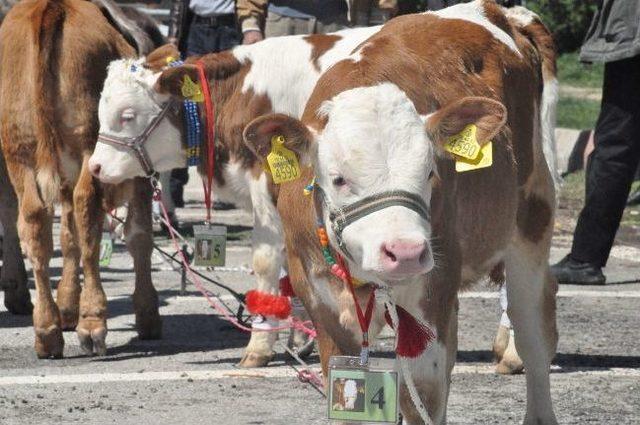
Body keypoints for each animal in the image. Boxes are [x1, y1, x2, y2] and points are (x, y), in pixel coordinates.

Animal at [0, 0, 162, 358]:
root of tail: (50, 8)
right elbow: (139, 237)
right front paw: (147, 314)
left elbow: (68, 236)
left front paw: (67, 306)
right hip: (89, 148)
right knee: (87, 212)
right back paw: (92, 323)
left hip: (19, 151)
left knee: (35, 222)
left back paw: (47, 329)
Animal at [244, 2, 560, 420]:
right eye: (338, 178)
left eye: (429, 172)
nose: (406, 251)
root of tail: (501, 12)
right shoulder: (322, 306)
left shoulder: (432, 296)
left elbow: (421, 396)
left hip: (531, 224)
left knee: (534, 336)